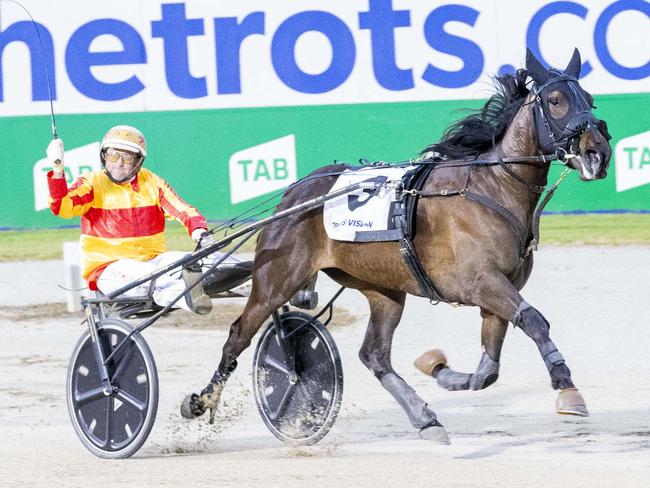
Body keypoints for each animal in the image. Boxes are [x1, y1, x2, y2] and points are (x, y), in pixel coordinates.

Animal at [185, 48, 612, 442]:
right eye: (555, 100)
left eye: (590, 99)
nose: (598, 153)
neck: (491, 187)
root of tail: (293, 195)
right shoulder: (480, 282)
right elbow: (535, 320)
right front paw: (566, 387)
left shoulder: (498, 292)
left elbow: (488, 370)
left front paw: (440, 370)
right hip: (277, 279)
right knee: (239, 335)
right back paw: (202, 401)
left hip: (383, 289)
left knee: (374, 355)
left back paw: (425, 419)